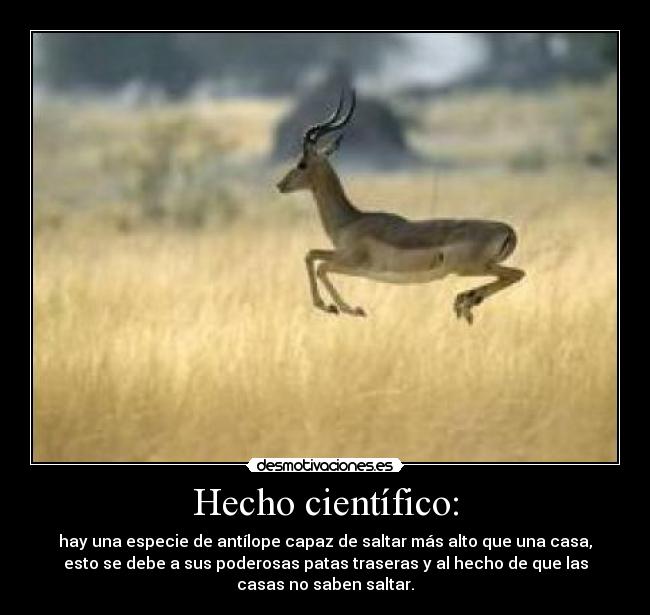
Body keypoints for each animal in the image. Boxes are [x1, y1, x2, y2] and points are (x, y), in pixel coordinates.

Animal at [276, 90, 524, 325]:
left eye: (302, 163)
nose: (280, 185)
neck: (350, 221)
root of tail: (509, 230)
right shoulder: (342, 256)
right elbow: (311, 255)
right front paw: (333, 307)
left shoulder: (352, 262)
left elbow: (319, 266)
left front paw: (346, 309)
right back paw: (466, 302)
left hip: (471, 267)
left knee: (517, 273)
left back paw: (465, 302)